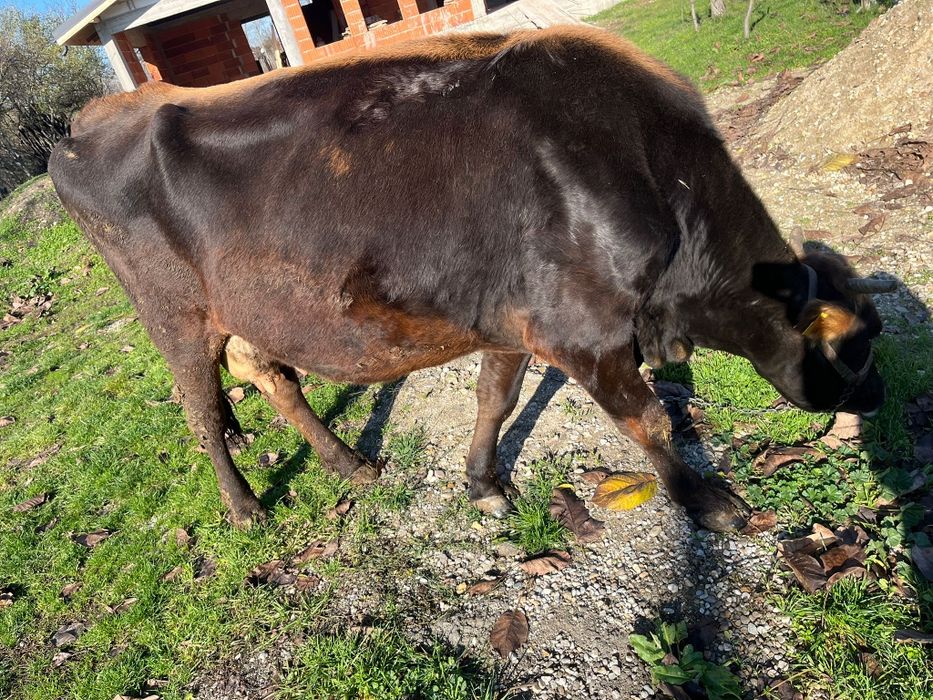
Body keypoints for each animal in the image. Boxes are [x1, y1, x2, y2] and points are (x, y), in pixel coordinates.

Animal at [48, 26, 892, 533]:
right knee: (200, 408)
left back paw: (348, 463)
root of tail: (94, 117)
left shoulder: (514, 322)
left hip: (248, 307)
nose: (876, 405)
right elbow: (650, 422)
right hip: (173, 314)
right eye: (857, 347)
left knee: (271, 376)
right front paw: (708, 500)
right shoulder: (581, 331)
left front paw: (483, 482)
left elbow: (497, 398)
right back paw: (247, 507)